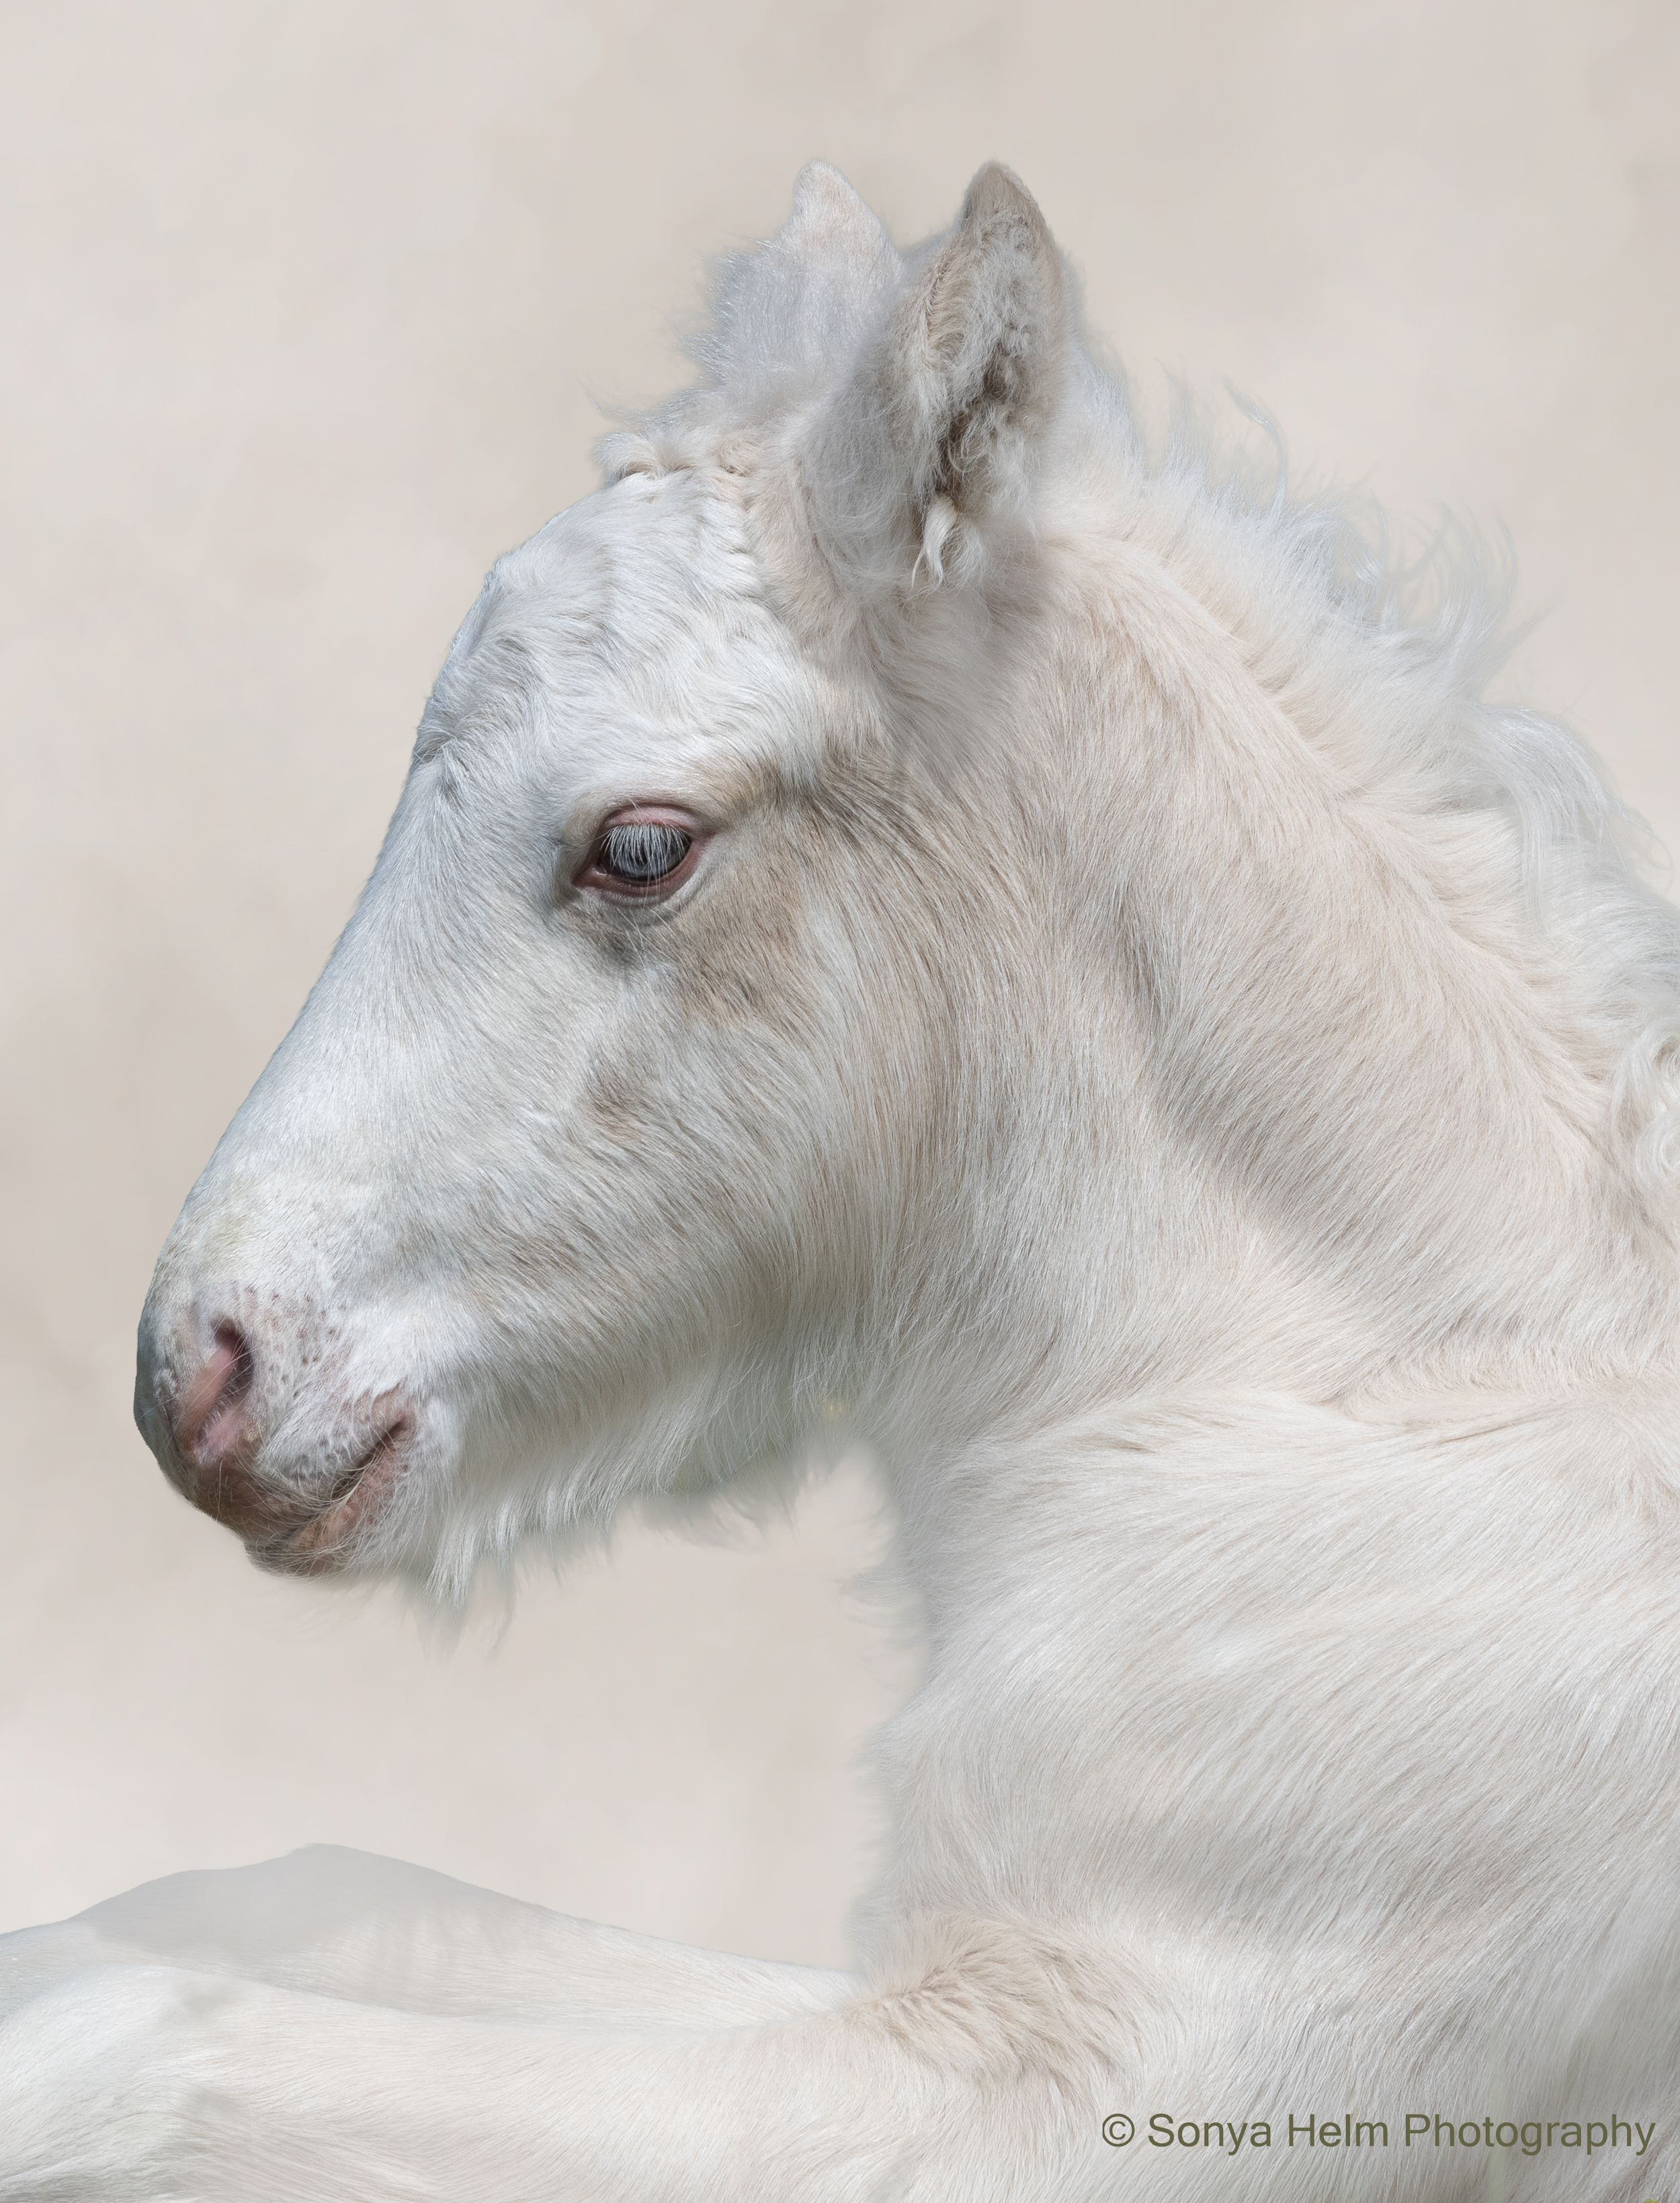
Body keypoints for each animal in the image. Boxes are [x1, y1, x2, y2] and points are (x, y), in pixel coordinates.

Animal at [3, 160, 1678, 2201]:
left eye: (641, 847)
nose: (202, 1377)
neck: (1368, 1415)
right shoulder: (944, 1983)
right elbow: (306, 1900)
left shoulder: (1128, 2088)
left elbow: (151, 2042)